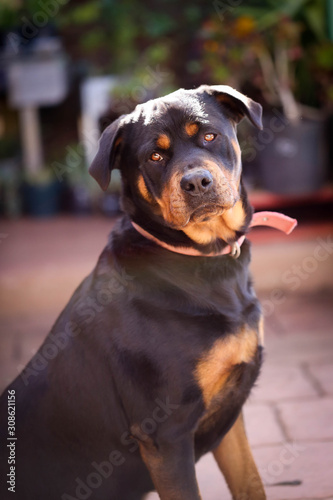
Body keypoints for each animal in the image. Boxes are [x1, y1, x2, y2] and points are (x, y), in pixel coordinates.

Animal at [0, 87, 268, 500]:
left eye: (209, 136)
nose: (196, 182)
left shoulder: (229, 415)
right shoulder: (167, 434)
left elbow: (251, 483)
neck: (201, 256)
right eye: (154, 157)